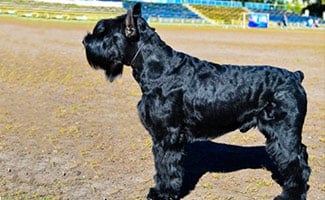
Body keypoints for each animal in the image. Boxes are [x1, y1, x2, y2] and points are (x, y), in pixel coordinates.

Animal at [82, 2, 310, 198]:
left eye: (103, 32)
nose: (85, 41)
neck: (160, 69)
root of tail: (295, 76)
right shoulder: (162, 136)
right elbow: (161, 167)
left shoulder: (168, 136)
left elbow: (166, 167)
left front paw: (162, 193)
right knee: (302, 158)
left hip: (283, 133)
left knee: (297, 164)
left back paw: (289, 194)